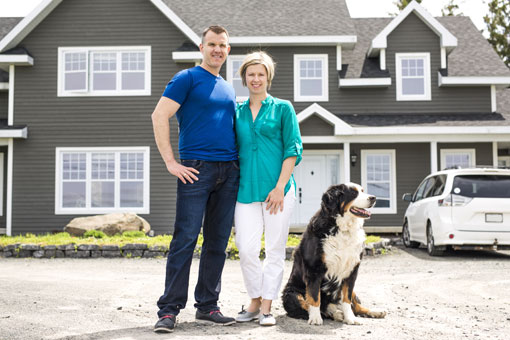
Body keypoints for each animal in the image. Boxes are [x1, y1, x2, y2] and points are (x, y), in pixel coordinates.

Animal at [282, 182, 386, 326]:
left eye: (362, 191)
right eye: (353, 193)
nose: (373, 198)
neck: (342, 229)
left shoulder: (351, 270)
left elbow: (347, 299)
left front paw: (350, 318)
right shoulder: (314, 269)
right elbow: (314, 297)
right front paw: (315, 319)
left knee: (355, 304)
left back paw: (373, 311)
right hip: (292, 294)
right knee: (314, 307)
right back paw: (335, 314)